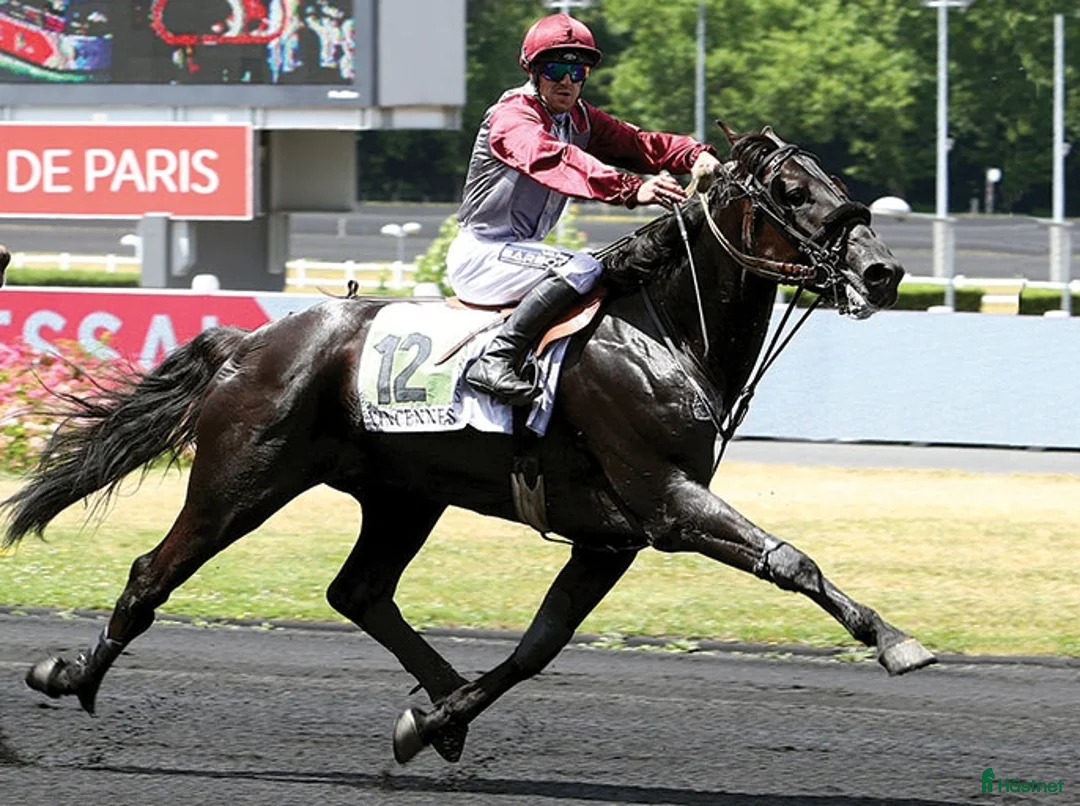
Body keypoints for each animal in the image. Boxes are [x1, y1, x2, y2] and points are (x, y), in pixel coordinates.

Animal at [1, 123, 934, 765]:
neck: (661, 334)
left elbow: (536, 648)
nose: (883, 271)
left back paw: (440, 693)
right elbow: (790, 559)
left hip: (402, 496)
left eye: (834, 181)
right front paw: (896, 641)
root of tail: (254, 340)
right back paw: (71, 676)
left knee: (358, 591)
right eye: (790, 188)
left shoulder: (610, 537)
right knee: (150, 576)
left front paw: (432, 719)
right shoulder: (666, 500)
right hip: (243, 476)